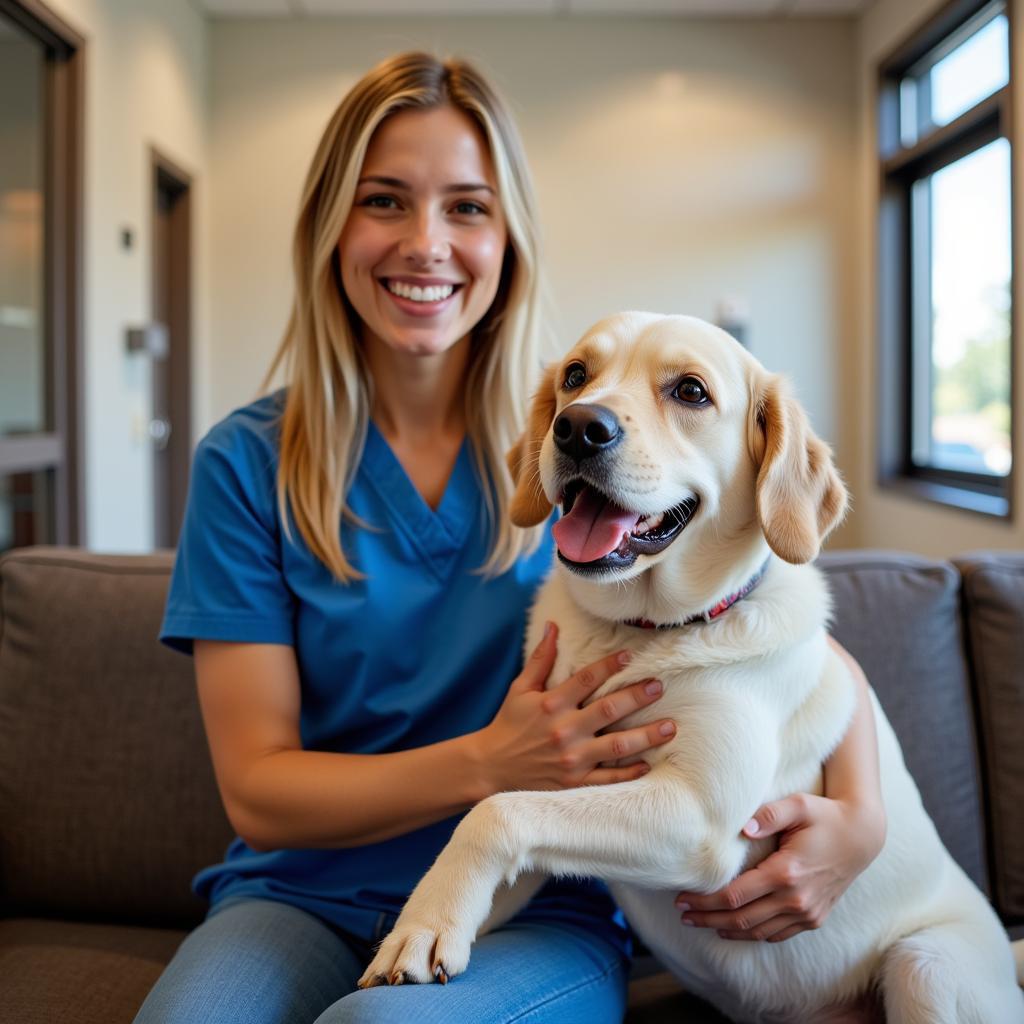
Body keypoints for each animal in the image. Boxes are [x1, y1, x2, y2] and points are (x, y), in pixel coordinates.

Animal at [358, 311, 1024, 1024]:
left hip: (924, 965)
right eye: (576, 376)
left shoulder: (699, 819)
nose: (578, 426)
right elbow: (488, 829)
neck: (642, 630)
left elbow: (495, 812)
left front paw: (424, 924)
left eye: (690, 392)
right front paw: (422, 923)